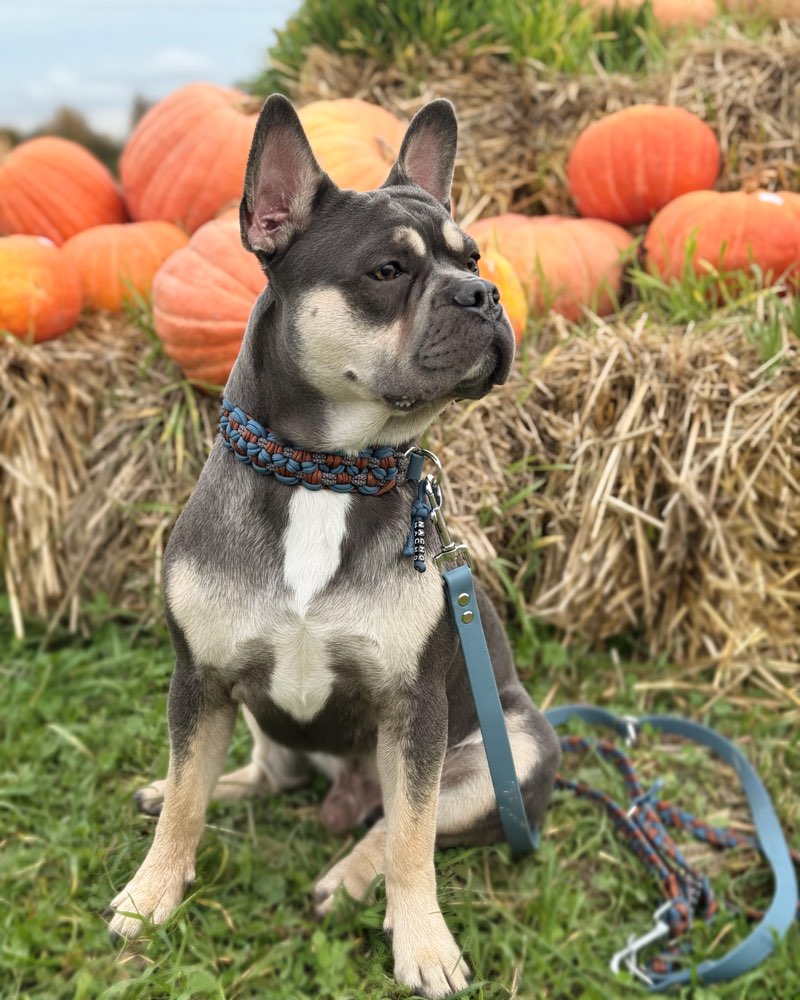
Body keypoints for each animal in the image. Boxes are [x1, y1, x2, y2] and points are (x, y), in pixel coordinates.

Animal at [104, 94, 556, 1000]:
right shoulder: (199, 679)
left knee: (401, 824)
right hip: (257, 717)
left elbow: (414, 839)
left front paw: (424, 944)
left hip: (513, 750)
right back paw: (196, 789)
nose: (484, 293)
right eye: (387, 272)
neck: (325, 473)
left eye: (474, 256)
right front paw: (152, 891)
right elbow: (188, 801)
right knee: (255, 774)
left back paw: (349, 877)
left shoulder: (416, 710)